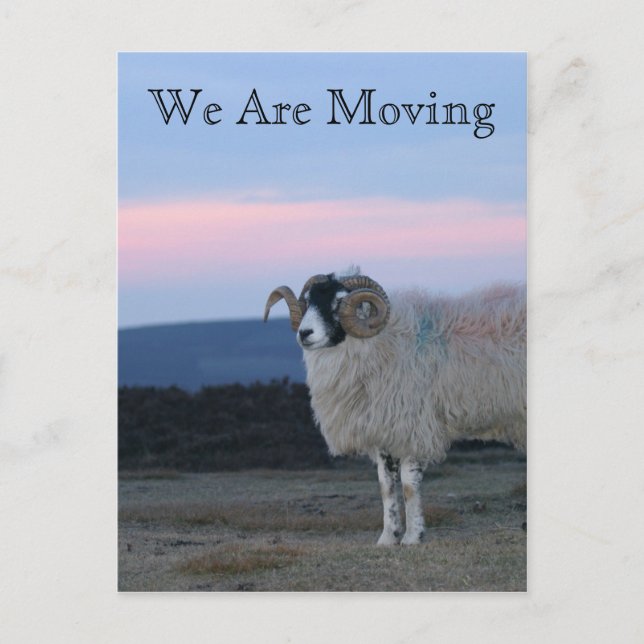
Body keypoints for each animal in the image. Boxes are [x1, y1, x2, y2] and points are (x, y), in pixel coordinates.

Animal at [264, 268, 526, 545]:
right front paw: (388, 538)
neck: (383, 344)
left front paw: (412, 537)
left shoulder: (410, 426)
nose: (304, 333)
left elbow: (409, 485)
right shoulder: (382, 429)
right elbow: (386, 486)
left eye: (338, 302)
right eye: (308, 301)